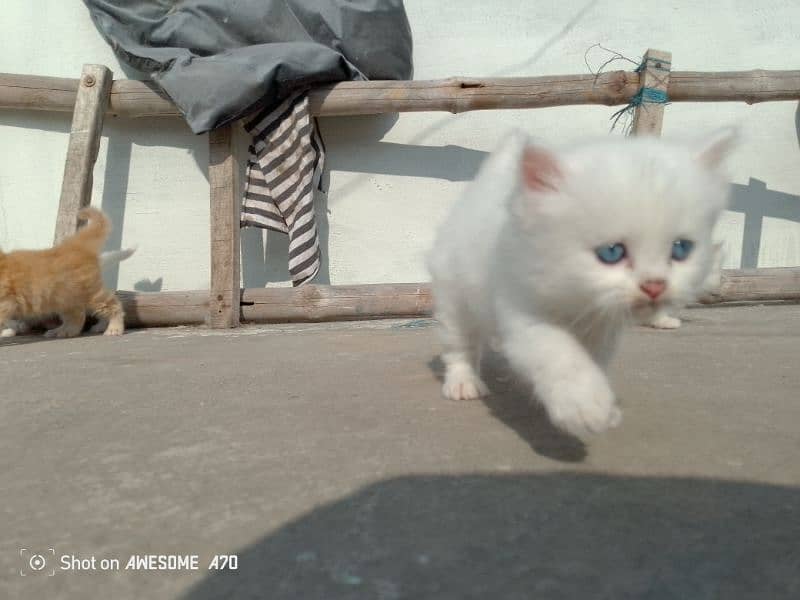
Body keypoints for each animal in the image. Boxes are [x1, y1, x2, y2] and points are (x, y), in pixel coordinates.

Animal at [0, 206, 124, 338]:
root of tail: (75, 246)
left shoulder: (6, 303)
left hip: (90, 294)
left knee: (113, 305)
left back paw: (113, 328)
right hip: (65, 298)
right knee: (77, 317)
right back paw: (63, 331)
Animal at [428, 129, 736, 436]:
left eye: (681, 249)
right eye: (611, 252)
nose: (655, 286)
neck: (577, 299)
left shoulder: (603, 329)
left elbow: (592, 360)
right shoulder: (523, 309)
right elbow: (562, 355)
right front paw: (585, 407)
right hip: (454, 296)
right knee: (460, 343)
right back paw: (463, 383)